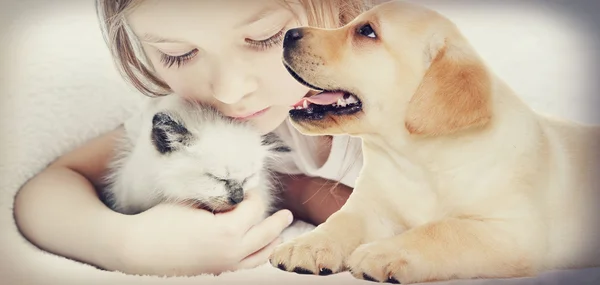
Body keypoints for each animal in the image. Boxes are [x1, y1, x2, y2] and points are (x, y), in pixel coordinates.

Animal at [268, 1, 600, 282]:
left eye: (366, 31)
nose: (288, 34)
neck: (416, 160)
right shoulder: (370, 208)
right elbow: (341, 220)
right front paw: (308, 244)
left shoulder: (514, 231)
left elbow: (443, 229)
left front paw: (384, 251)